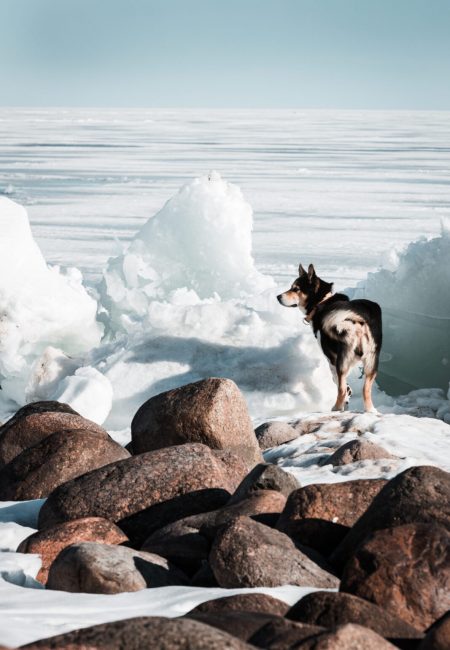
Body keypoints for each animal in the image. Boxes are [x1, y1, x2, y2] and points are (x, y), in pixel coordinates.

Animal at [276, 262, 382, 410]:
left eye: (296, 289)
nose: (278, 297)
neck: (322, 302)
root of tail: (357, 318)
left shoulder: (332, 360)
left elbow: (340, 384)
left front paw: (346, 399)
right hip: (371, 363)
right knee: (366, 391)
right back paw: (371, 411)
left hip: (343, 361)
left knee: (341, 389)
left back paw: (336, 408)